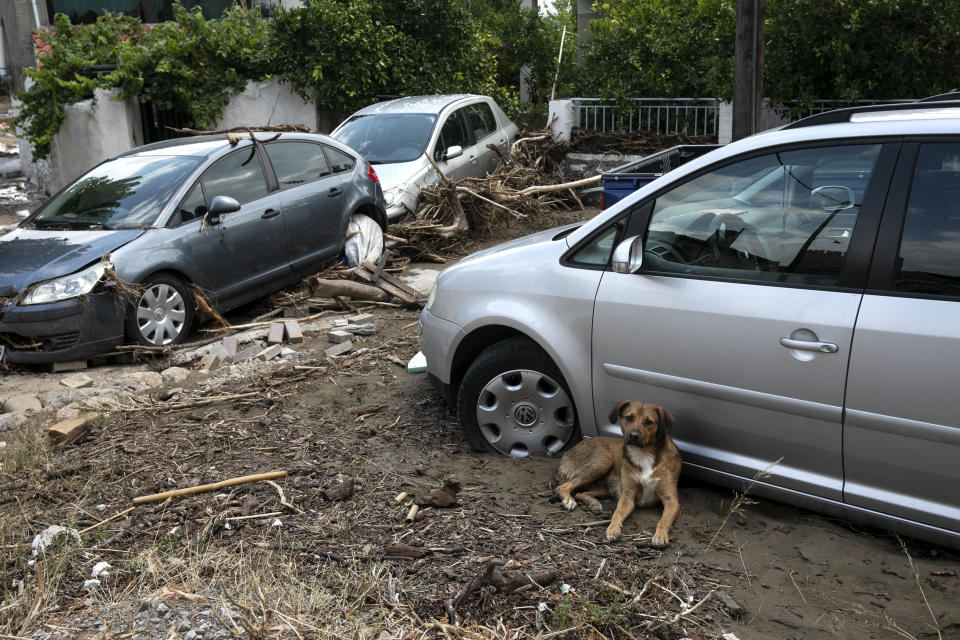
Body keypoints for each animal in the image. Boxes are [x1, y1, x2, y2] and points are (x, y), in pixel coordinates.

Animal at [556, 400, 684, 544]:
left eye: (649, 422)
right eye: (629, 417)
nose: (633, 436)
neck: (644, 453)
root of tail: (568, 452)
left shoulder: (671, 500)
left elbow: (664, 520)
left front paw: (660, 535)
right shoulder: (627, 496)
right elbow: (617, 513)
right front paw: (612, 528)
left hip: (604, 485)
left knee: (580, 493)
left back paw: (593, 503)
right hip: (602, 461)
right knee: (562, 487)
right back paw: (569, 500)